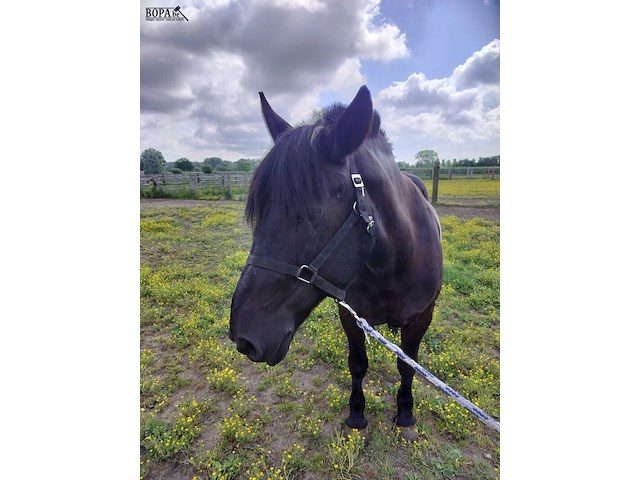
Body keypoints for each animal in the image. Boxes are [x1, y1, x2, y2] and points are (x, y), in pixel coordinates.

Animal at [229, 85, 443, 434]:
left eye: (312, 213)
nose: (243, 337)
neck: (392, 263)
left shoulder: (422, 317)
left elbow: (407, 366)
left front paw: (406, 413)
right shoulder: (350, 316)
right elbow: (357, 364)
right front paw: (356, 413)